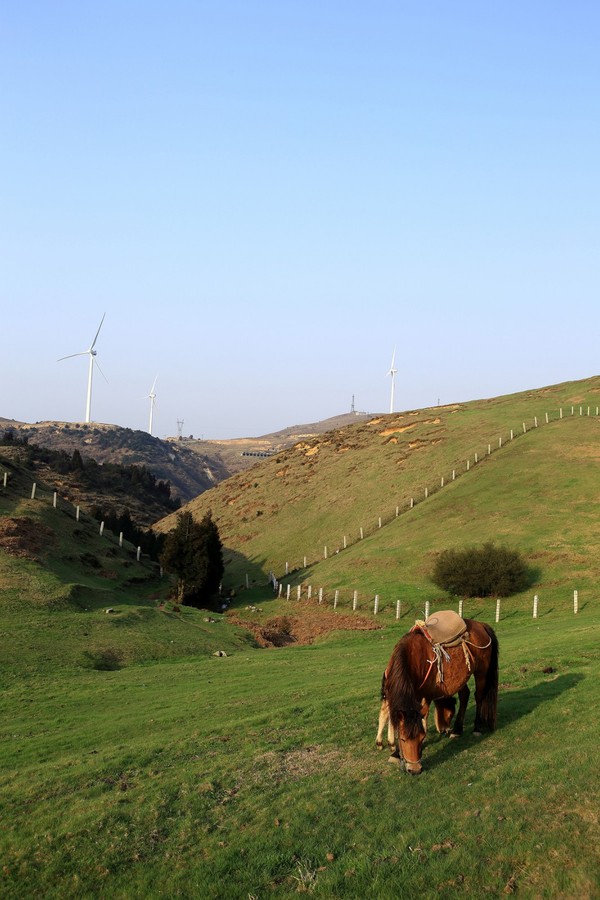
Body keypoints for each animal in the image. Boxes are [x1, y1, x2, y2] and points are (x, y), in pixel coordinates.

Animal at [382, 620, 500, 772]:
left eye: (421, 738)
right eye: (402, 739)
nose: (415, 770)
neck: (412, 657)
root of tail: (481, 625)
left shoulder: (421, 694)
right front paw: (396, 753)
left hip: (481, 672)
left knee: (478, 697)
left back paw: (477, 728)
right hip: (462, 676)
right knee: (464, 695)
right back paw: (457, 730)